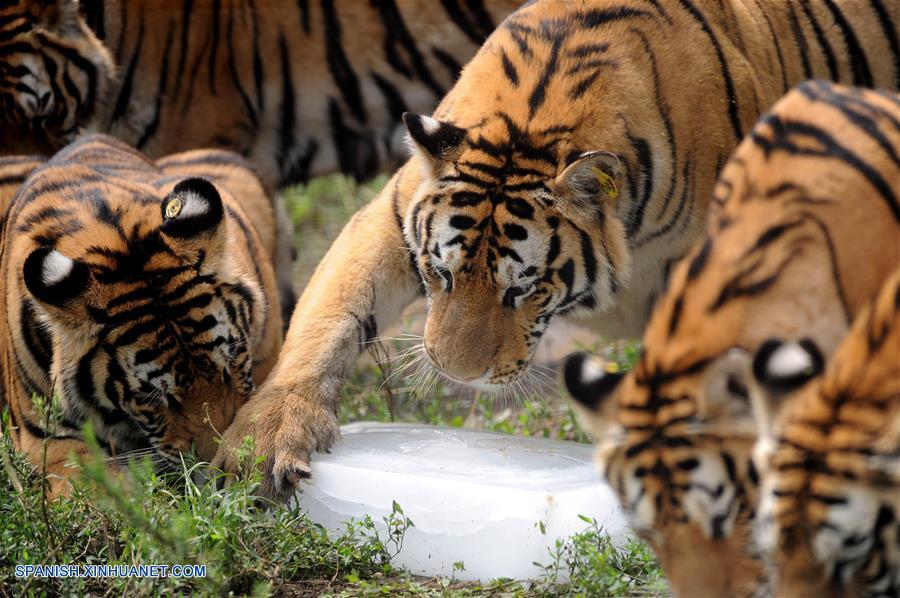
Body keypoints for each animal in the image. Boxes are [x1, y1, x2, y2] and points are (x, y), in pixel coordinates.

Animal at [209, 0, 900, 501]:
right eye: (440, 274)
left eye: (524, 288)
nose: (459, 376)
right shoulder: (390, 215)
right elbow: (330, 315)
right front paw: (264, 440)